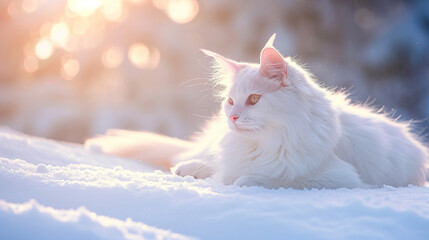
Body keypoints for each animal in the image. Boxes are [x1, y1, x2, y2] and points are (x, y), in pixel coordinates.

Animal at [85, 33, 426, 189]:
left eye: (253, 99)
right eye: (230, 101)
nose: (233, 118)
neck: (268, 142)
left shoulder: (338, 178)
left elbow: (262, 178)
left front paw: (242, 180)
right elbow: (230, 171)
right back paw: (190, 166)